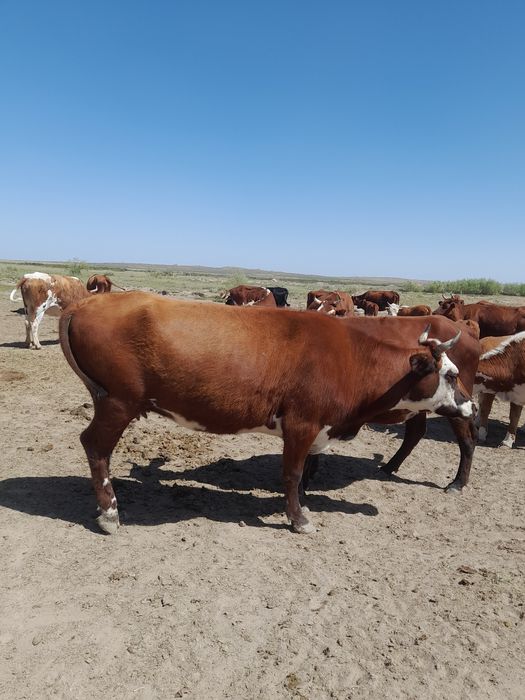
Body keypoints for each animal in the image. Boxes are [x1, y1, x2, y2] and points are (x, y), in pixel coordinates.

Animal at [59, 292, 478, 535]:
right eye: (450, 374)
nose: (472, 405)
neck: (350, 358)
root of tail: (85, 303)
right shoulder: (301, 424)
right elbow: (292, 474)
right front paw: (299, 518)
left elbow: (305, 471)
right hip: (119, 401)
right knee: (96, 446)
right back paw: (110, 512)